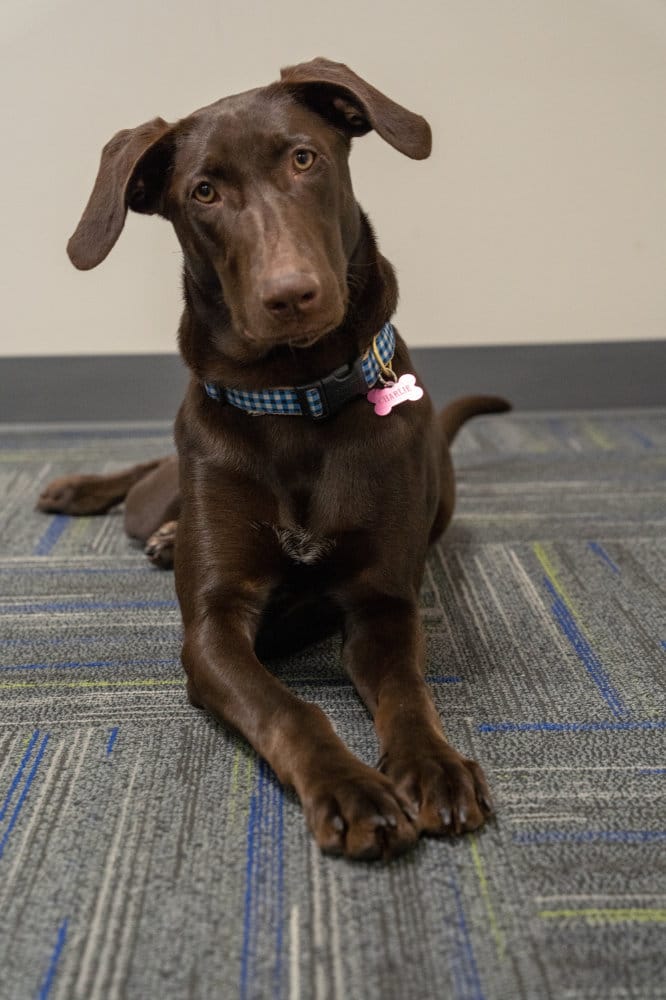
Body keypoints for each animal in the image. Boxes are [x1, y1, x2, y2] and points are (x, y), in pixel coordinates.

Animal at [38, 58, 510, 860]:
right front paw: (353, 789)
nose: (290, 295)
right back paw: (83, 492)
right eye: (204, 192)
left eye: (304, 158)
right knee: (149, 477)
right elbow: (290, 709)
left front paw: (434, 768)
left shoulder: (383, 602)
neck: (294, 399)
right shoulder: (212, 626)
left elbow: (409, 693)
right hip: (165, 482)